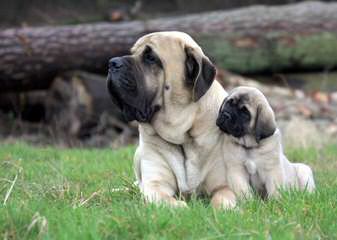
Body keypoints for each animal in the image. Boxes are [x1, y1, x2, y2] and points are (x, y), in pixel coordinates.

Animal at [106, 31, 235, 208]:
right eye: (132, 52)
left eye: (151, 58)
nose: (112, 63)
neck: (183, 135)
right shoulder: (156, 185)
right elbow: (170, 201)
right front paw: (183, 208)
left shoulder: (224, 185)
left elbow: (223, 200)